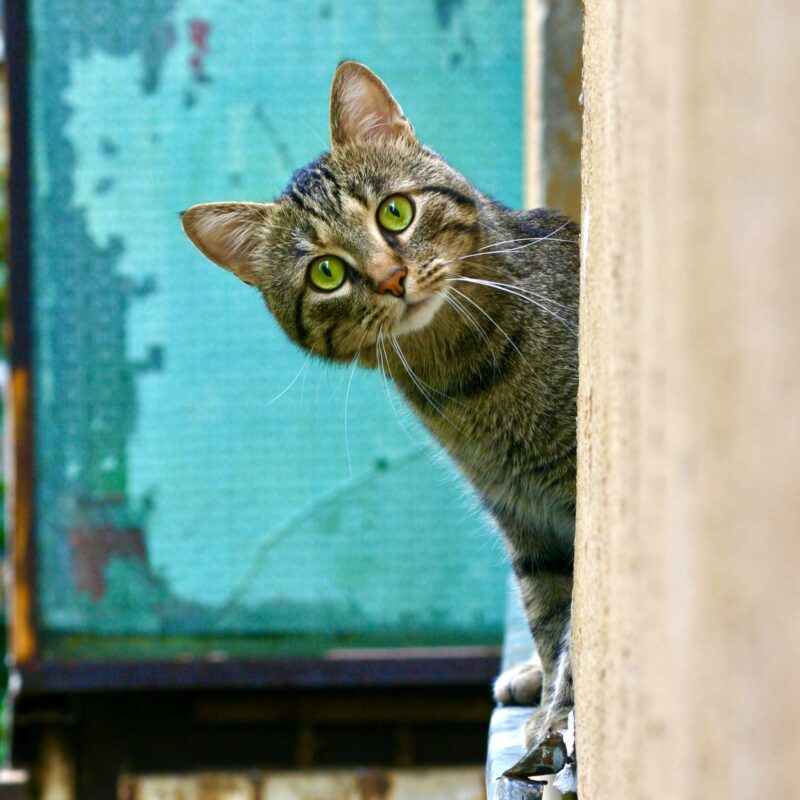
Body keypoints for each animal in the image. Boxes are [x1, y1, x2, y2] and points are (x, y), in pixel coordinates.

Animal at [182, 59, 580, 772]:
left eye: (395, 211)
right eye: (327, 273)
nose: (393, 279)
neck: (466, 379)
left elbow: (575, 636)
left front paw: (556, 720)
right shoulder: (526, 522)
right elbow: (549, 618)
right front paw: (547, 709)